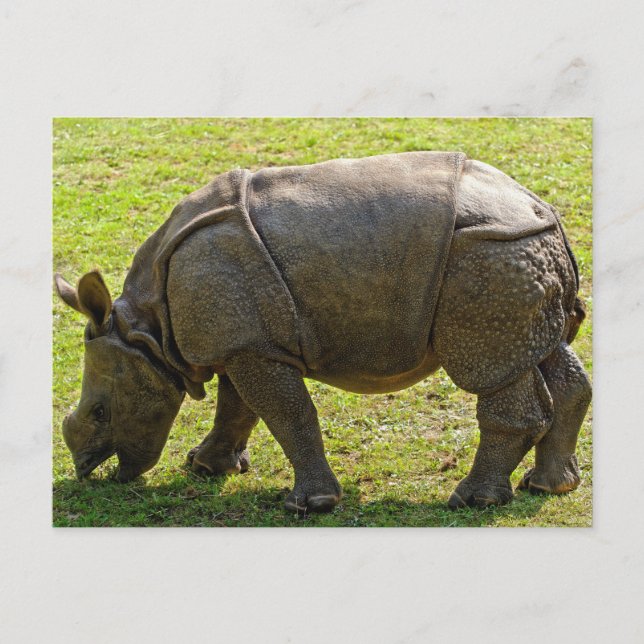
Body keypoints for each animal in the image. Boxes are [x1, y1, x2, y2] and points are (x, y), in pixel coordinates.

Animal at [55, 151, 591, 513]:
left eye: (102, 412)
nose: (85, 472)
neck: (148, 330)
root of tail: (546, 212)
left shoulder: (247, 344)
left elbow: (287, 413)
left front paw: (309, 505)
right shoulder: (245, 341)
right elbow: (238, 407)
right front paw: (205, 468)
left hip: (490, 254)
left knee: (493, 371)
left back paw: (472, 500)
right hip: (519, 253)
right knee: (546, 354)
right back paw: (548, 487)